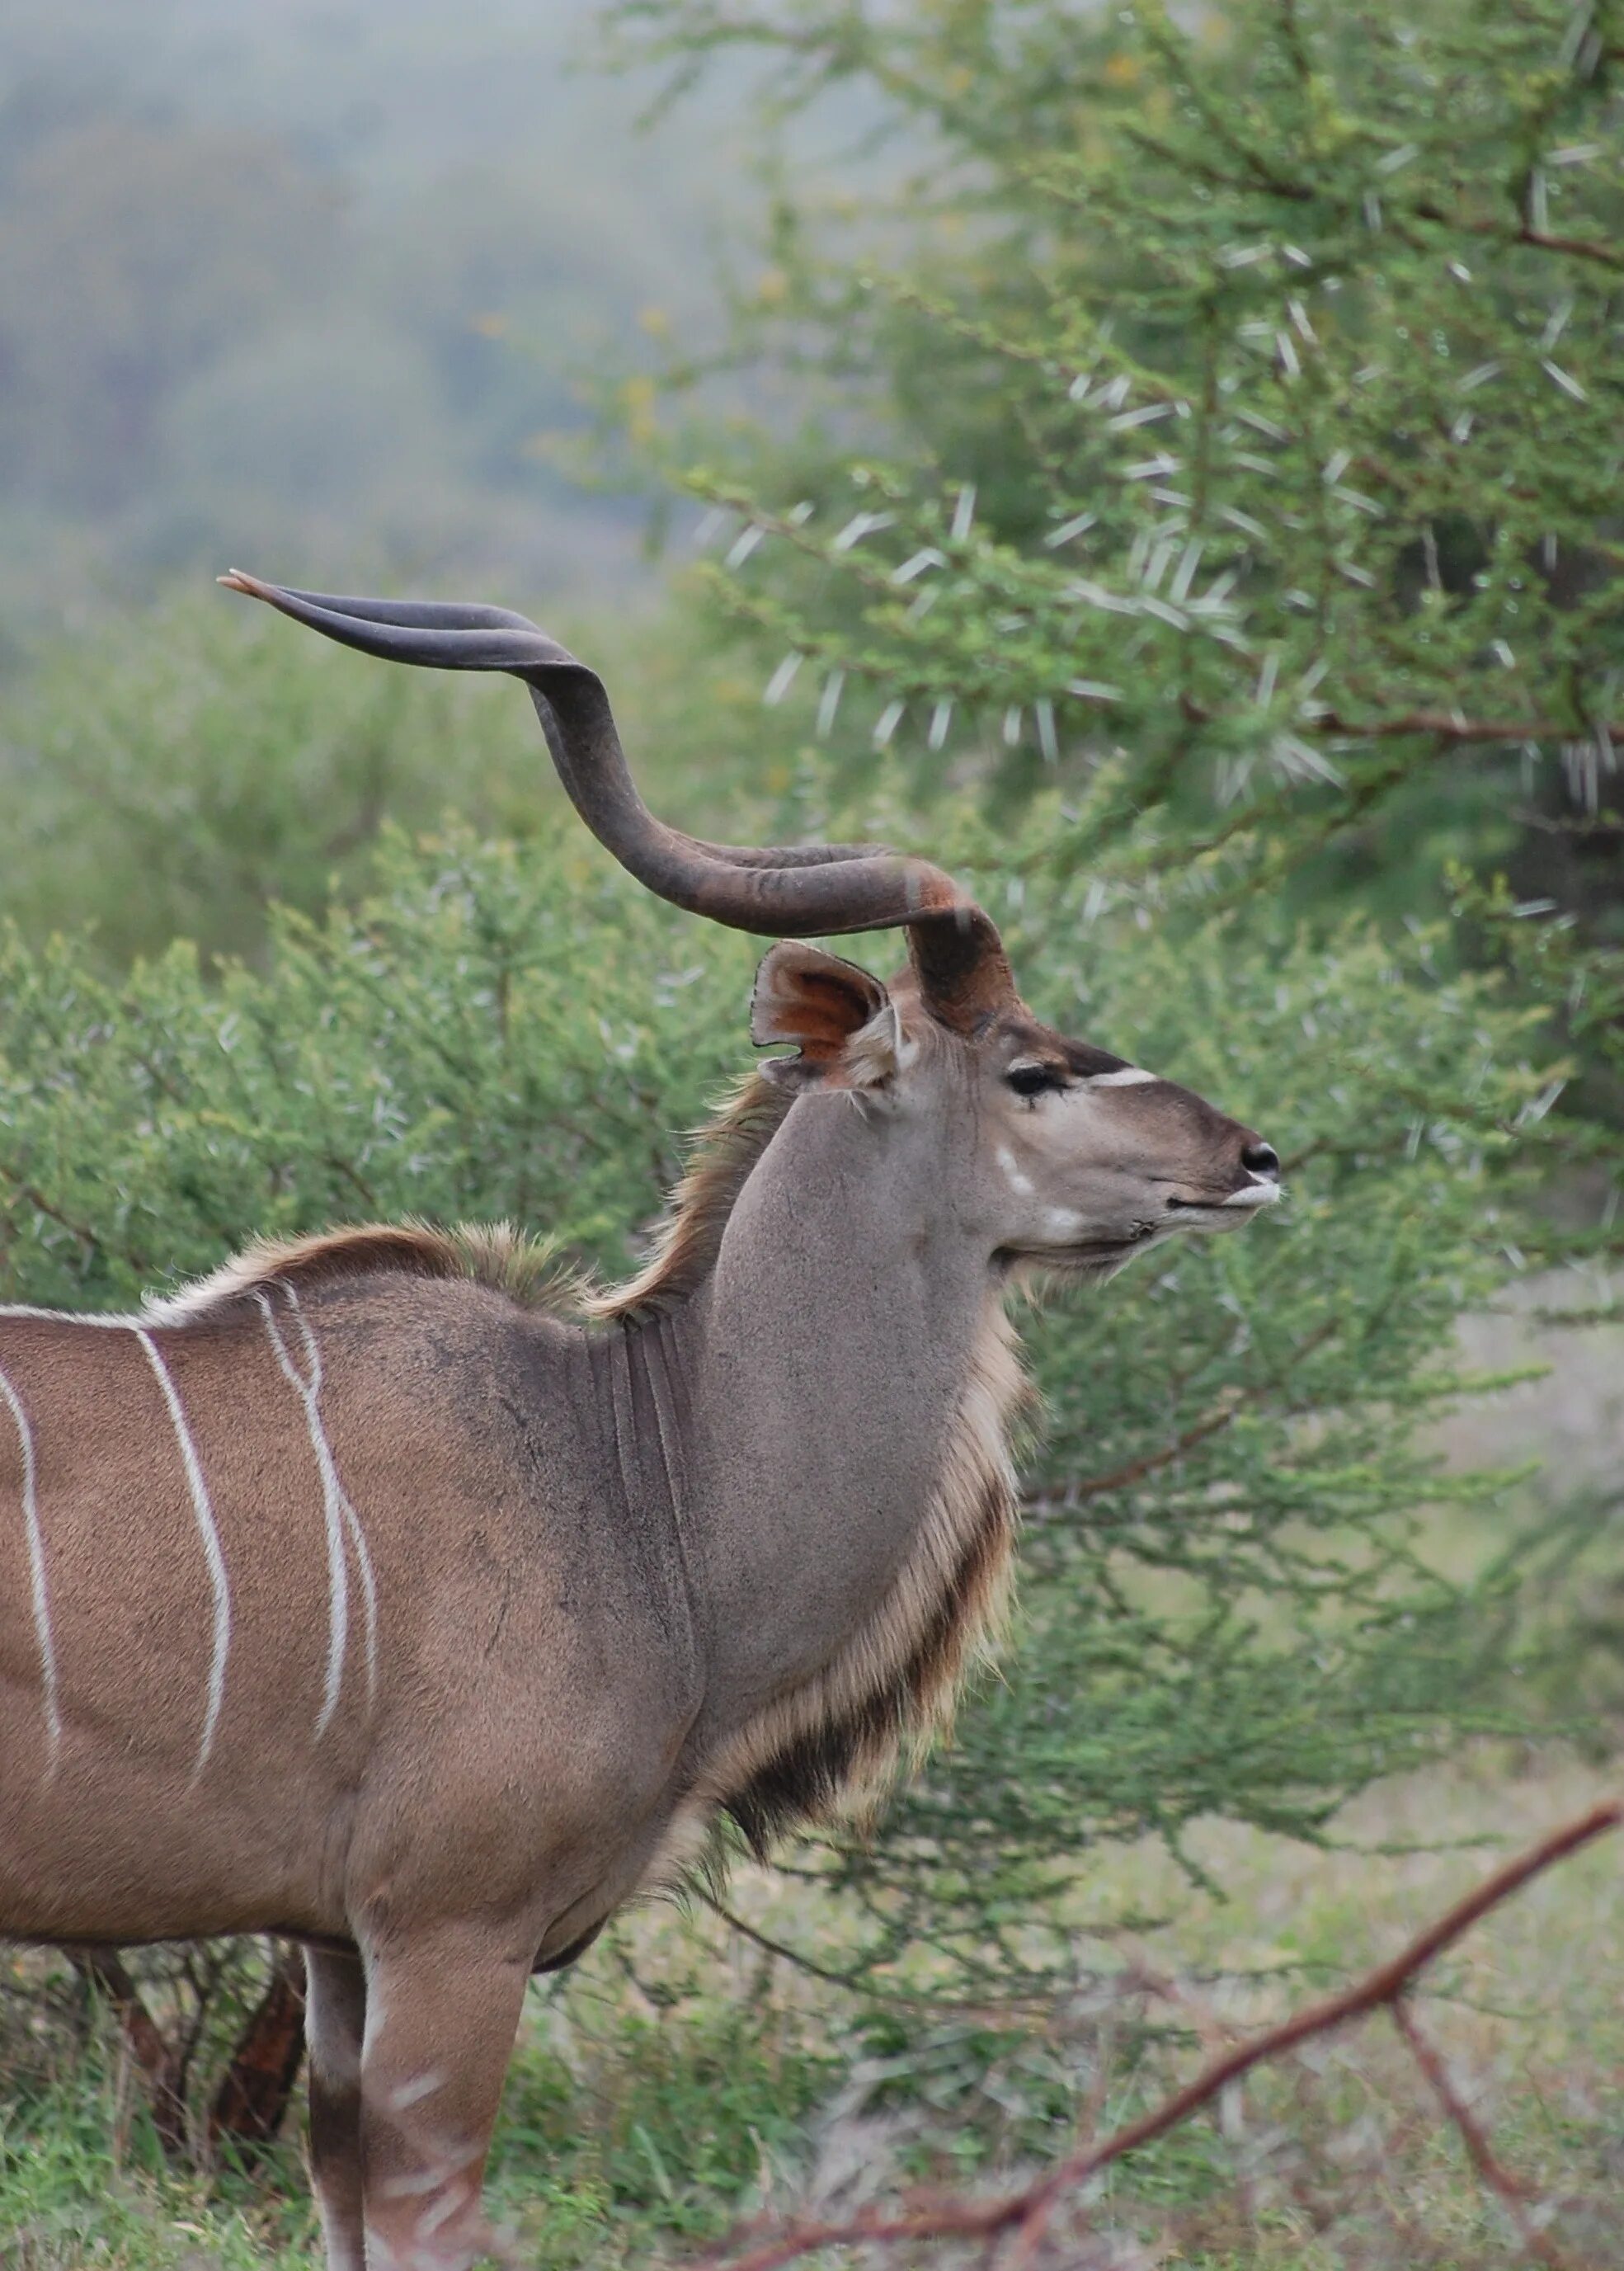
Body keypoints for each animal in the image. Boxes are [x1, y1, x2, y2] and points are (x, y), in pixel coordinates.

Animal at [0, 577, 1281, 2261]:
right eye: (1030, 1069)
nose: (1253, 1155)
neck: (639, 1474)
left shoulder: (333, 1945)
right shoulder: (449, 1932)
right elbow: (424, 2206)